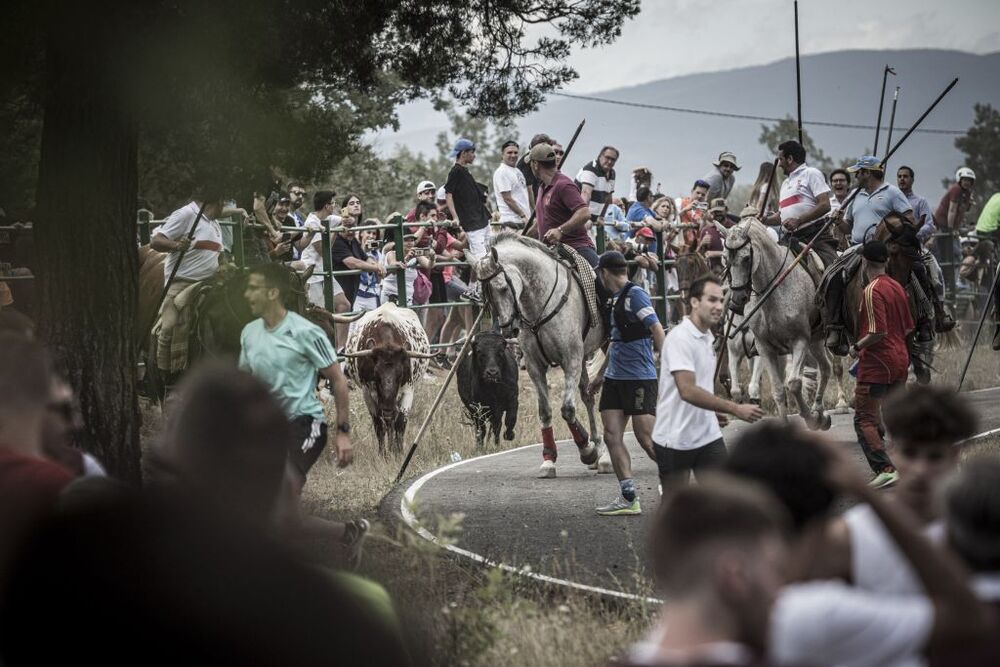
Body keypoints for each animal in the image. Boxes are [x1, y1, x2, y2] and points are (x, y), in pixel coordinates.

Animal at [476, 232, 600, 478]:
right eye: (487, 295)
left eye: (502, 288)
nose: (508, 329)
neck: (539, 306)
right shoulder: (535, 366)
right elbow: (545, 411)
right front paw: (549, 459)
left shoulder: (571, 360)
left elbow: (567, 409)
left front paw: (586, 449)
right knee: (588, 395)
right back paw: (600, 451)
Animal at [724, 217, 832, 430]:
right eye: (726, 259)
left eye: (746, 258)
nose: (737, 301)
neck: (774, 292)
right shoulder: (764, 348)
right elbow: (778, 390)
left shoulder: (799, 341)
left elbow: (794, 383)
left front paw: (809, 417)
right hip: (816, 341)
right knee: (826, 368)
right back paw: (820, 413)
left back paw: (818, 414)